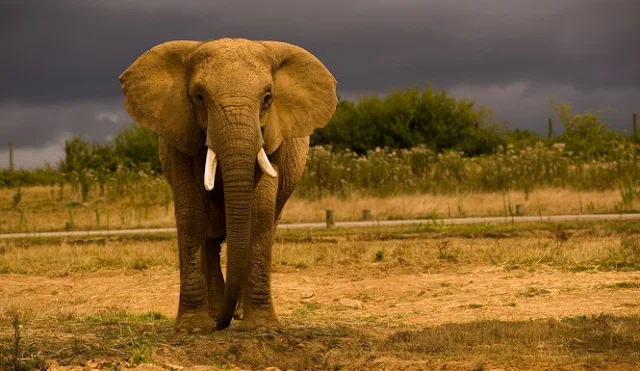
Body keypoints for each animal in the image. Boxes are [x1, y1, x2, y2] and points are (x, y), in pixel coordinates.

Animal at [120, 39, 340, 332]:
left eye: (267, 97)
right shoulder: (179, 132)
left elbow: (260, 210)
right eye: (199, 97)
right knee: (210, 238)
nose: (222, 325)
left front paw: (261, 328)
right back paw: (215, 312)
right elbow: (191, 211)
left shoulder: (274, 136)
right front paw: (193, 328)